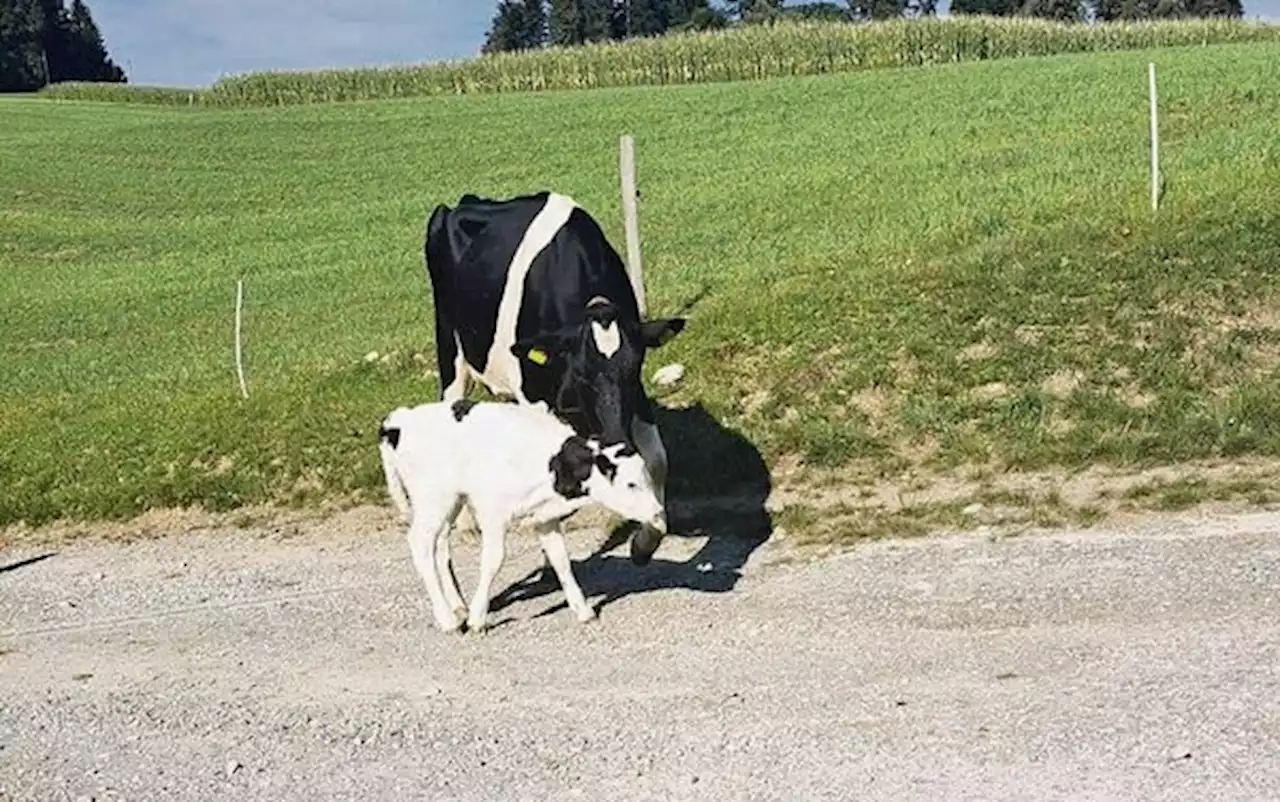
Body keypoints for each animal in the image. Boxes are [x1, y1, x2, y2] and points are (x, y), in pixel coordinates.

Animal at [376, 396, 660, 634]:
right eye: (631, 484)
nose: (658, 512)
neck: (550, 463)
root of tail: (399, 421)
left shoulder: (545, 518)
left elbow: (561, 560)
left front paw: (584, 610)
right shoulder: (493, 512)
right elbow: (494, 560)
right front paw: (478, 619)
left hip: (448, 501)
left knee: (441, 544)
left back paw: (458, 607)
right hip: (433, 499)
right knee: (421, 545)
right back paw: (448, 620)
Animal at [422, 189, 686, 565]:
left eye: (634, 368)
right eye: (582, 376)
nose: (617, 441)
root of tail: (466, 201)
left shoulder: (635, 395)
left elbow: (659, 460)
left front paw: (644, 542)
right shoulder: (534, 394)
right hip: (450, 348)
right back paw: (468, 525)